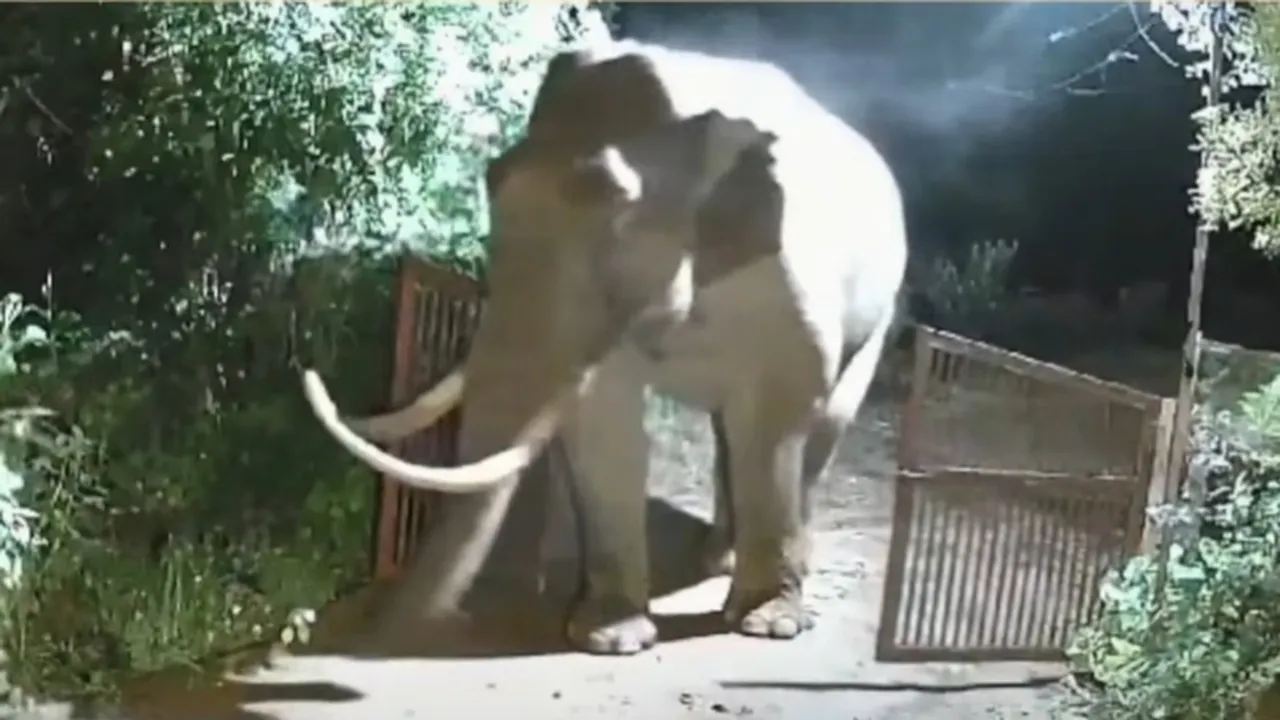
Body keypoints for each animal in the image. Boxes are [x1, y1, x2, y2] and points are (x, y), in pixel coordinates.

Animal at [302, 39, 908, 655]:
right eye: (490, 181)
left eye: (616, 208)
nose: (445, 623)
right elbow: (603, 421)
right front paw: (609, 638)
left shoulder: (785, 286)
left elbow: (772, 421)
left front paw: (767, 626)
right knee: (725, 435)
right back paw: (715, 560)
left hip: (881, 312)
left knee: (818, 426)